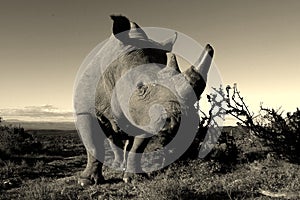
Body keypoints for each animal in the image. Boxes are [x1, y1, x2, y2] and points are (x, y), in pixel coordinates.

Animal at [73, 14, 214, 185]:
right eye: (140, 87)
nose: (182, 124)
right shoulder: (84, 110)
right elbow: (93, 146)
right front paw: (85, 181)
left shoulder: (145, 112)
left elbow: (137, 147)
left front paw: (133, 178)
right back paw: (117, 164)